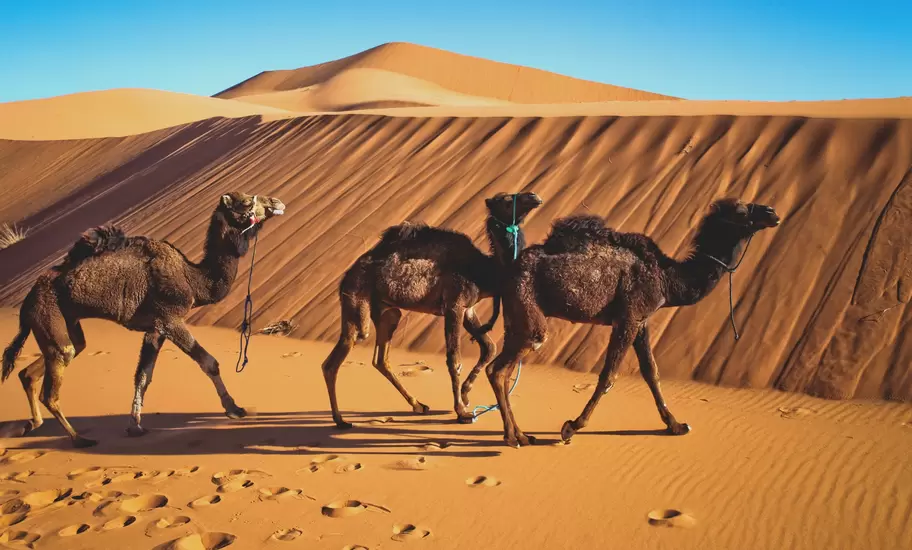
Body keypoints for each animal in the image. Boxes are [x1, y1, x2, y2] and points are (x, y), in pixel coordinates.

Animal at [2, 192, 285, 448]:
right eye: (246, 201)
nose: (277, 202)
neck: (193, 279)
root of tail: (29, 297)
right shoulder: (170, 319)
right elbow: (209, 363)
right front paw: (235, 408)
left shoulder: (155, 328)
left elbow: (143, 376)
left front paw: (135, 425)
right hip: (47, 315)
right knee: (53, 384)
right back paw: (79, 439)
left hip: (63, 323)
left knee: (40, 366)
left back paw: (32, 424)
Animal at [321, 191, 543, 428]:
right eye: (506, 200)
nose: (534, 196)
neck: (482, 270)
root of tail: (346, 276)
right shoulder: (454, 306)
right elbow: (454, 359)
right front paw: (462, 411)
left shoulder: (468, 309)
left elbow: (489, 347)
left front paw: (466, 394)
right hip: (356, 301)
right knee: (335, 360)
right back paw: (340, 420)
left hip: (388, 312)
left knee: (380, 359)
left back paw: (418, 405)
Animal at [483, 198, 781, 448]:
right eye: (741, 211)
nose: (772, 212)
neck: (667, 277)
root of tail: (509, 268)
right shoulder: (629, 317)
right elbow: (609, 375)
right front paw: (571, 427)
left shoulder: (642, 322)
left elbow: (651, 372)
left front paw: (676, 425)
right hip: (528, 311)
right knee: (500, 368)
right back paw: (514, 437)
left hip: (515, 318)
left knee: (502, 371)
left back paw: (520, 434)